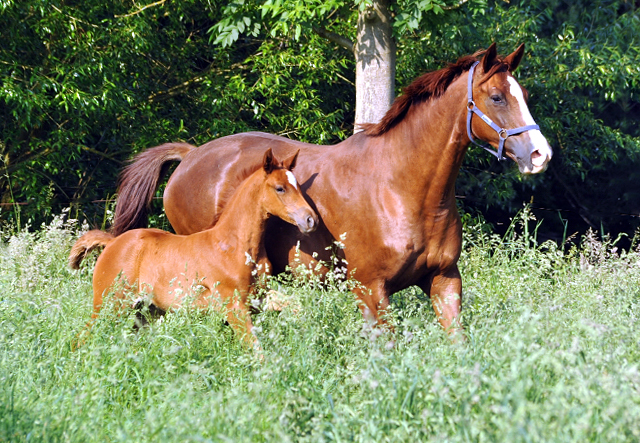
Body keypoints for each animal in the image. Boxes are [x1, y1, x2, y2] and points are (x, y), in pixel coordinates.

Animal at [69, 149, 316, 346]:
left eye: (298, 186)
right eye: (280, 188)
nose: (310, 220)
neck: (234, 246)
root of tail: (113, 242)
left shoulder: (259, 297)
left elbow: (296, 307)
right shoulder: (233, 304)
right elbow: (254, 346)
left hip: (145, 312)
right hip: (110, 304)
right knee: (81, 338)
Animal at [109, 44, 552, 336]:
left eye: (525, 95)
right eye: (496, 97)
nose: (539, 154)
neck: (401, 186)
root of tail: (190, 157)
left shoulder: (444, 280)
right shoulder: (371, 291)